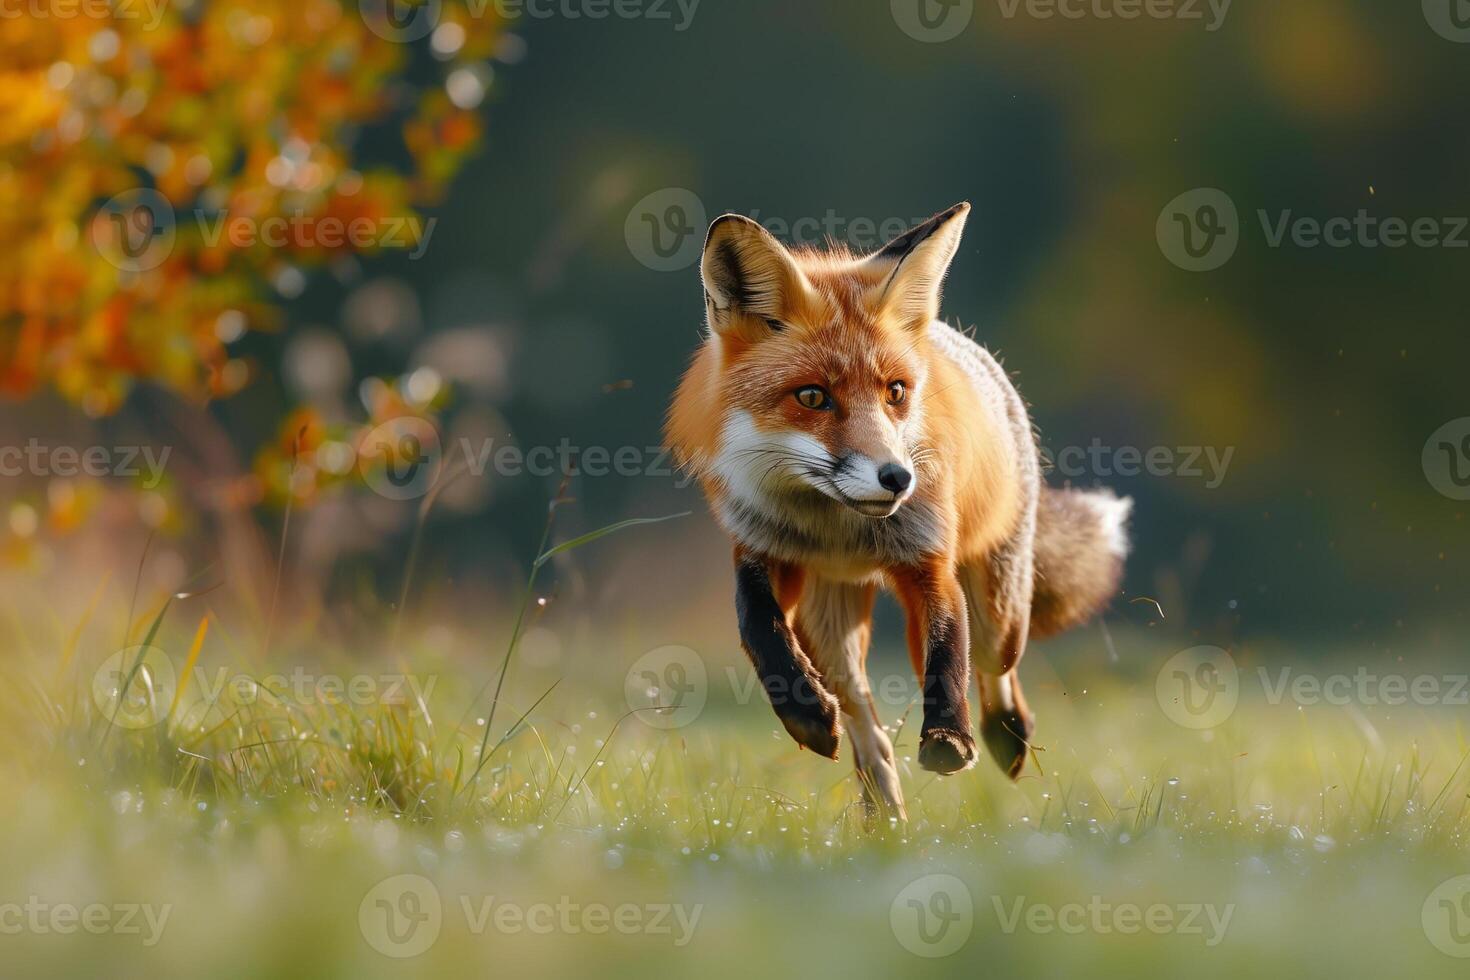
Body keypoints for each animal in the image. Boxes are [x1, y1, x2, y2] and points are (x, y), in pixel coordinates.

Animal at [664, 202, 1123, 816]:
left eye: (896, 392)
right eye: (812, 396)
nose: (898, 478)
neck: (837, 527)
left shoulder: (928, 561)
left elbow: (948, 654)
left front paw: (949, 737)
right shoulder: (760, 551)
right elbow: (758, 629)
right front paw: (805, 715)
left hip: (999, 610)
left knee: (993, 666)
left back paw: (1005, 733)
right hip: (828, 628)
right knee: (866, 725)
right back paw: (882, 807)